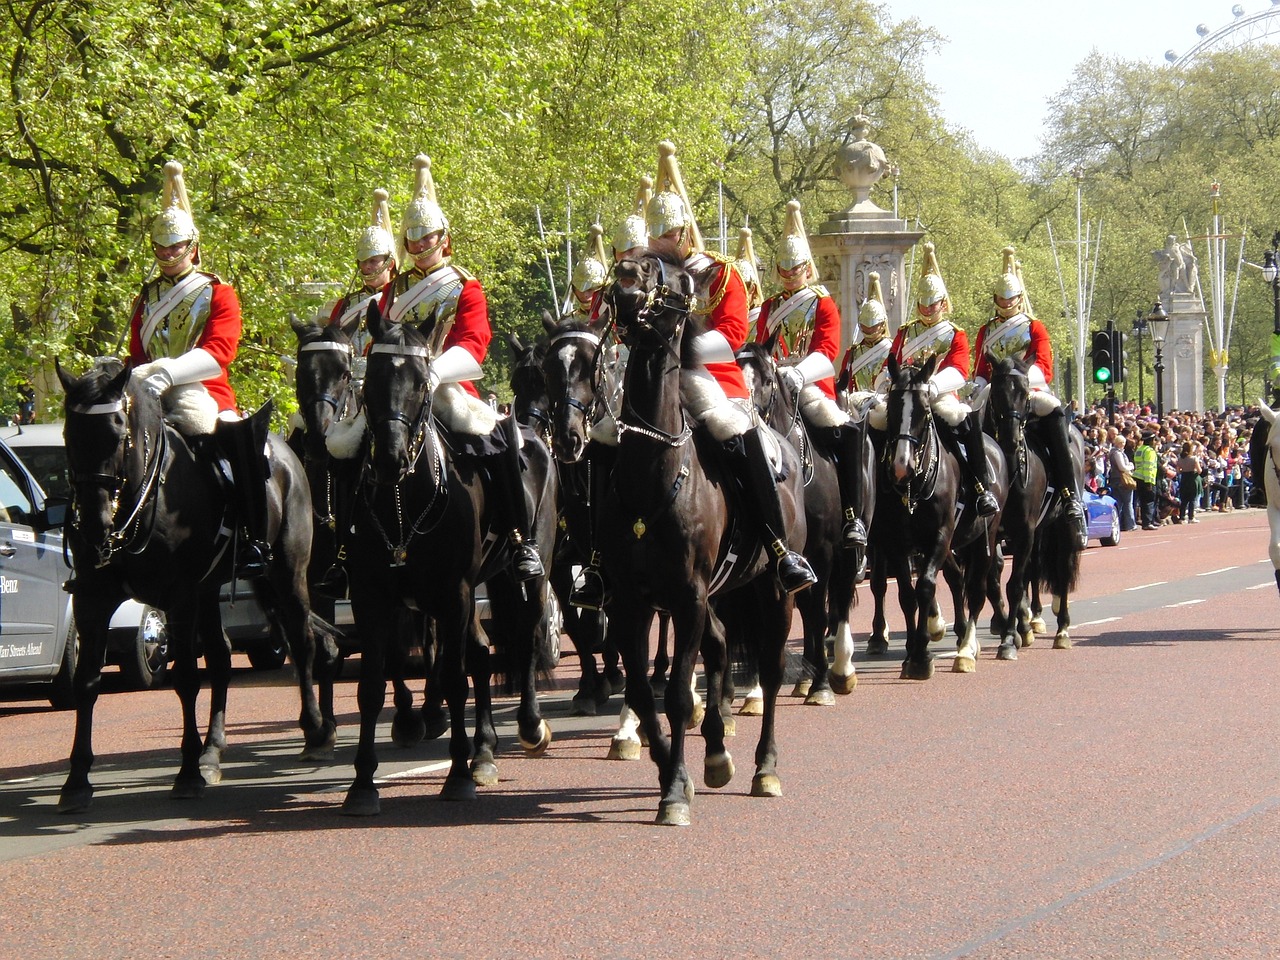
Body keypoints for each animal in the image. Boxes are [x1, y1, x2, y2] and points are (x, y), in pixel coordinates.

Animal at [54, 358, 335, 814]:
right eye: (69, 434)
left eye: (117, 429)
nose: (95, 526)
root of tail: (288, 450)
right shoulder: (93, 600)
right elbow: (86, 683)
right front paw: (76, 781)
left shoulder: (179, 598)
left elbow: (185, 678)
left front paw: (185, 775)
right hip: (210, 592)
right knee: (222, 658)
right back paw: (212, 751)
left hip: (286, 574)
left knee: (303, 641)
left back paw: (315, 731)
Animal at [340, 304, 555, 814]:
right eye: (371, 377)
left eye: (422, 381)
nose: (390, 459)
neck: (403, 501)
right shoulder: (372, 597)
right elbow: (371, 685)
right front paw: (362, 784)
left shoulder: (453, 594)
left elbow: (456, 679)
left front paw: (456, 775)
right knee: (482, 651)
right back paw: (485, 754)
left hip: (527, 574)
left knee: (527, 635)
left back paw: (528, 726)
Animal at [599, 241, 798, 829]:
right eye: (630, 257)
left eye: (670, 277)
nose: (624, 277)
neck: (652, 476)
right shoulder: (631, 600)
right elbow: (644, 693)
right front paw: (675, 774)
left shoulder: (686, 597)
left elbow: (676, 697)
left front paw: (673, 794)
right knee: (719, 646)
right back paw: (716, 754)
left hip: (772, 591)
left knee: (771, 671)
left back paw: (764, 769)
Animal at [737, 343, 865, 701]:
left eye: (767, 379)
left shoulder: (822, 550)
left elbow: (817, 614)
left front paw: (821, 685)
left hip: (846, 550)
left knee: (838, 598)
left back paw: (839, 670)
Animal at [983, 358, 1085, 660]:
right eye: (996, 392)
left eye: (1025, 391)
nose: (1010, 440)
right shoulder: (994, 533)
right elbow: (994, 582)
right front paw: (1013, 628)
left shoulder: (1024, 530)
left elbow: (1015, 585)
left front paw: (1009, 639)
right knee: (1035, 568)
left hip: (1061, 527)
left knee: (1061, 571)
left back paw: (1062, 630)